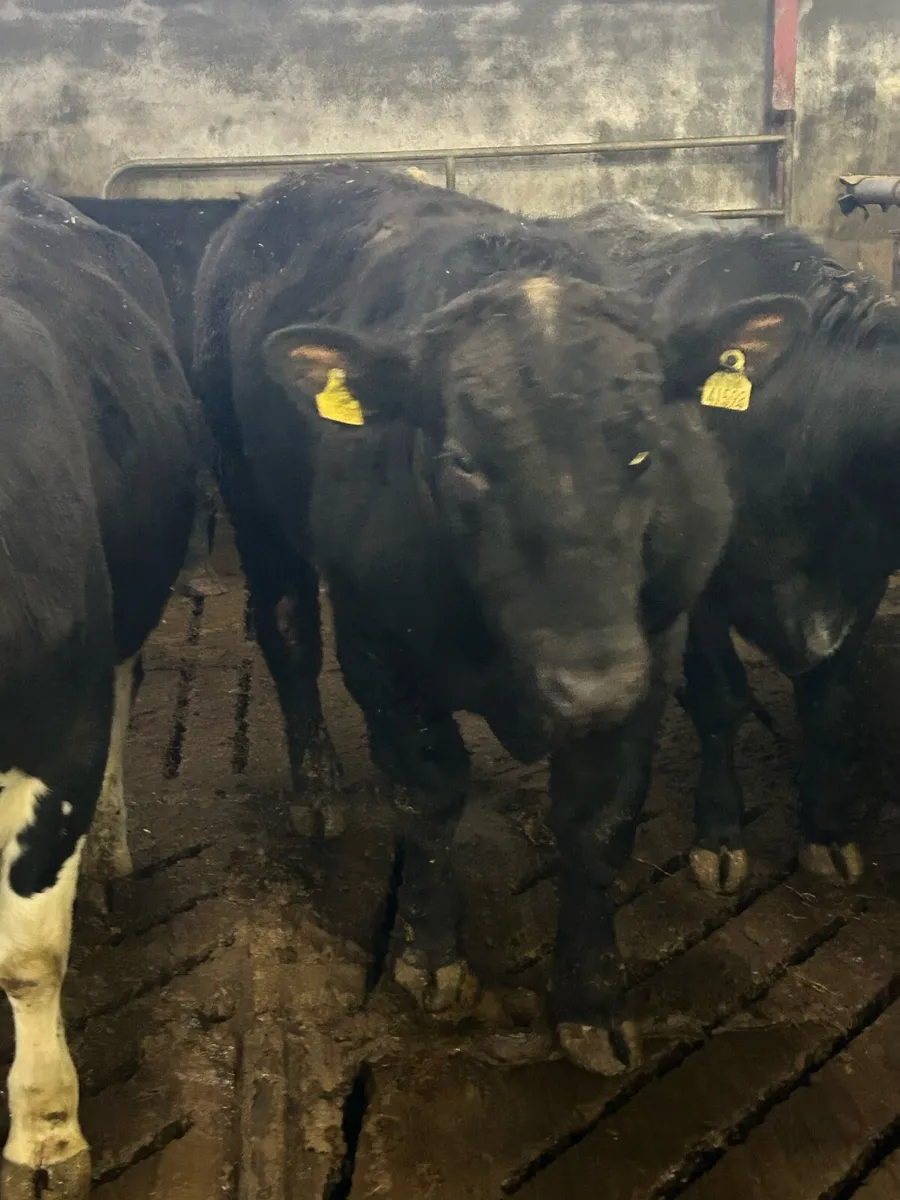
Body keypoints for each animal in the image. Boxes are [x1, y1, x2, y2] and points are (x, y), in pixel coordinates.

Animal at [191, 162, 807, 1074]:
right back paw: (317, 787)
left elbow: (597, 824)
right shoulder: (380, 645)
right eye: (462, 461)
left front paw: (590, 1001)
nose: (590, 682)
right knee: (288, 631)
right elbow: (427, 795)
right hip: (250, 497)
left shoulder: (650, 652)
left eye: (644, 447)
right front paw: (432, 957)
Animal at [557, 197, 900, 893]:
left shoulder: (863, 585)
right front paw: (718, 836)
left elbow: (829, 707)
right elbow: (721, 702)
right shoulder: (708, 589)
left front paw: (827, 829)